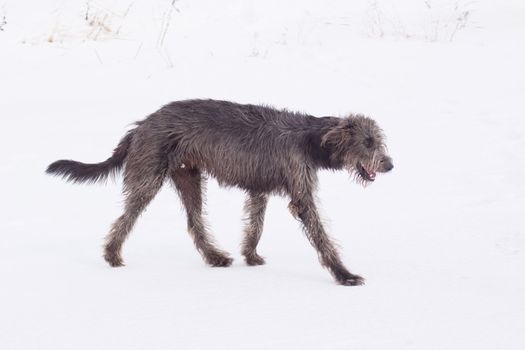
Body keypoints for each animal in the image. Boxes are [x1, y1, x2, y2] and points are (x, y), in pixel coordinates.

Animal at [47, 100, 390, 286]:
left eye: (378, 140)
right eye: (368, 142)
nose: (390, 165)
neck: (310, 139)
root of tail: (142, 124)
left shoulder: (259, 190)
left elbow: (255, 225)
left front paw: (250, 255)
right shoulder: (300, 194)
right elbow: (321, 237)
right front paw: (344, 274)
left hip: (188, 178)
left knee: (194, 222)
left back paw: (214, 257)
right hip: (149, 178)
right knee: (126, 217)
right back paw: (112, 256)